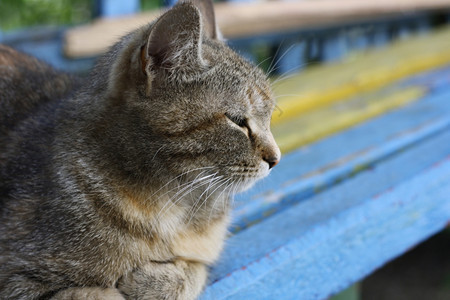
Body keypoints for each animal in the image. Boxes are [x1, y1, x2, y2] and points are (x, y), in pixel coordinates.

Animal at [0, 0, 280, 298]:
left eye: (269, 116)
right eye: (238, 121)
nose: (276, 159)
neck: (172, 208)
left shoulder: (202, 256)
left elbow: (195, 270)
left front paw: (154, 281)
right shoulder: (16, 278)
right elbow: (97, 293)